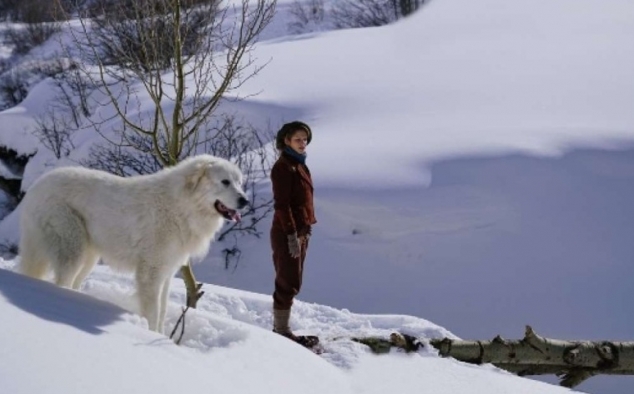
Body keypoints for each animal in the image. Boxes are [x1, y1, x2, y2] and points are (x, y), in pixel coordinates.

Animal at [18, 155, 246, 332]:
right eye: (225, 182)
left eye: (239, 182)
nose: (245, 201)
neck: (182, 206)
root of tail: (35, 187)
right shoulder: (151, 273)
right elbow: (153, 313)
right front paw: (150, 334)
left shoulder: (167, 272)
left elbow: (163, 311)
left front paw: (162, 337)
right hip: (74, 248)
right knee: (62, 281)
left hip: (89, 257)